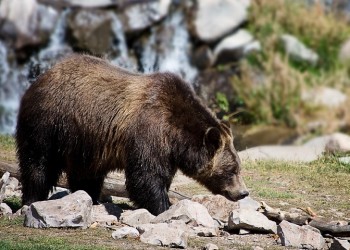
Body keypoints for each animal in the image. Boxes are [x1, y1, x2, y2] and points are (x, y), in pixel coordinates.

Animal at [15, 54, 247, 215]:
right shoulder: (149, 131)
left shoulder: (167, 151)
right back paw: (32, 199)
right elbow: (145, 176)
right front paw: (163, 207)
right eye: (232, 170)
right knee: (39, 162)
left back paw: (90, 197)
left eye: (238, 167)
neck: (176, 136)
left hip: (84, 141)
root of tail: (41, 76)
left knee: (86, 173)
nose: (243, 192)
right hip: (49, 123)